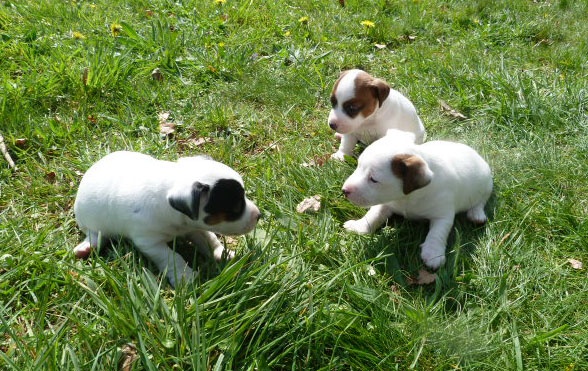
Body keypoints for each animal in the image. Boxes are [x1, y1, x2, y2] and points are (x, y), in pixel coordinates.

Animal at [72, 151, 260, 288]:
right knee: (96, 235)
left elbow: (209, 239)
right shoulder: (150, 242)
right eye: (236, 208)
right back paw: (86, 247)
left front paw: (221, 253)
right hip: (90, 222)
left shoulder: (194, 227)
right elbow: (172, 257)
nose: (258, 215)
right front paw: (185, 276)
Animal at [340, 131, 492, 270]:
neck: (406, 198)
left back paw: (476, 214)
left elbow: (437, 233)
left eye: (374, 179)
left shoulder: (443, 215)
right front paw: (360, 226)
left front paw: (433, 253)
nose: (344, 190)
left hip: (487, 184)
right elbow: (373, 215)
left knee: (481, 201)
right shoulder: (386, 204)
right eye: (358, 166)